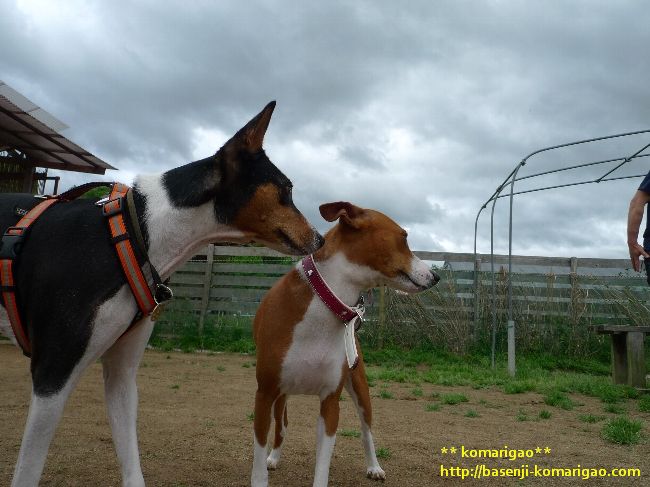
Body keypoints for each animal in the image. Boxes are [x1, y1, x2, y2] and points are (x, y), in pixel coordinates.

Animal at [0, 101, 324, 487]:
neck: (136, 234)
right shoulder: (52, 376)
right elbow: (27, 471)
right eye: (287, 189)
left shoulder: (121, 375)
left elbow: (132, 466)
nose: (321, 239)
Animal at [251, 202, 439, 487]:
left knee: (366, 431)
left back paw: (374, 466)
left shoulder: (330, 402)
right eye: (404, 237)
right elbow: (259, 464)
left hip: (360, 389)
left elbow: (323, 467)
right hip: (281, 394)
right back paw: (274, 457)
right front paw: (267, 461)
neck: (324, 304)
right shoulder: (264, 395)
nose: (436, 275)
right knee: (282, 424)